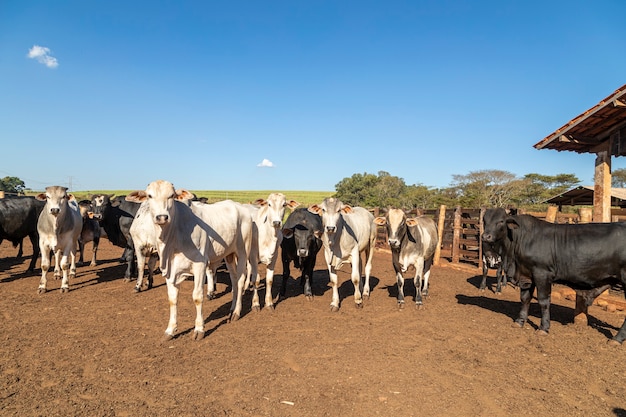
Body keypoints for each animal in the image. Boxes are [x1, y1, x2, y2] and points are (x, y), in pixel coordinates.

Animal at [125, 180, 252, 340]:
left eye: (171, 195)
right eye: (149, 196)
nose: (162, 217)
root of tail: (241, 207)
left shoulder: (200, 265)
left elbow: (197, 297)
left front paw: (199, 329)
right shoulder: (169, 269)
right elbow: (172, 298)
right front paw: (170, 330)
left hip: (242, 252)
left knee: (240, 281)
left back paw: (236, 312)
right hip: (229, 255)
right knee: (234, 281)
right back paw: (231, 309)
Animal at [486, 208, 626, 344]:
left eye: (501, 221)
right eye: (484, 219)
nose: (485, 236)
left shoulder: (542, 274)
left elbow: (543, 302)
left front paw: (543, 328)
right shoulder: (527, 276)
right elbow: (525, 298)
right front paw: (519, 321)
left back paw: (616, 339)